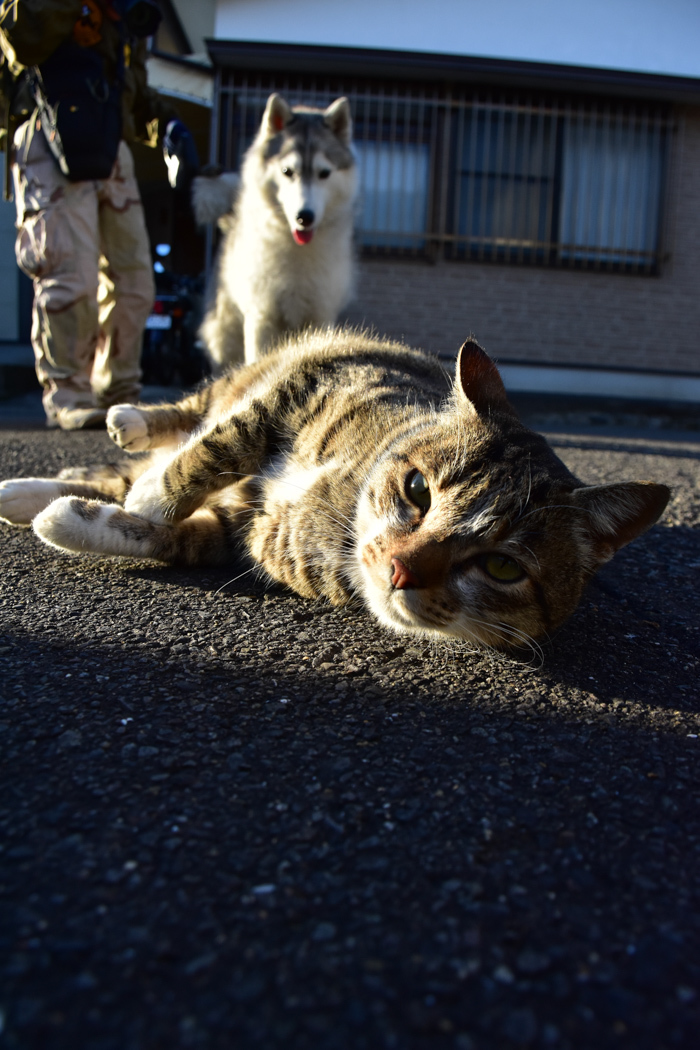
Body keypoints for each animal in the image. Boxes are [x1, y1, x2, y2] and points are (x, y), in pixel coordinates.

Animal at [0, 331, 667, 651]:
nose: (401, 569)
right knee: (195, 415)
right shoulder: (305, 384)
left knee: (116, 472)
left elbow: (162, 535)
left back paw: (23, 495)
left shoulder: (238, 531)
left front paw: (70, 520)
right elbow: (221, 444)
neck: (348, 493)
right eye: (417, 490)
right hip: (294, 360)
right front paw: (152, 494)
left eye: (504, 567)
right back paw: (132, 420)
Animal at [194, 94, 358, 371]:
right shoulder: (262, 316)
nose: (304, 216)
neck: (298, 255)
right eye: (287, 172)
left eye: (324, 173)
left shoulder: (320, 315)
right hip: (225, 333)